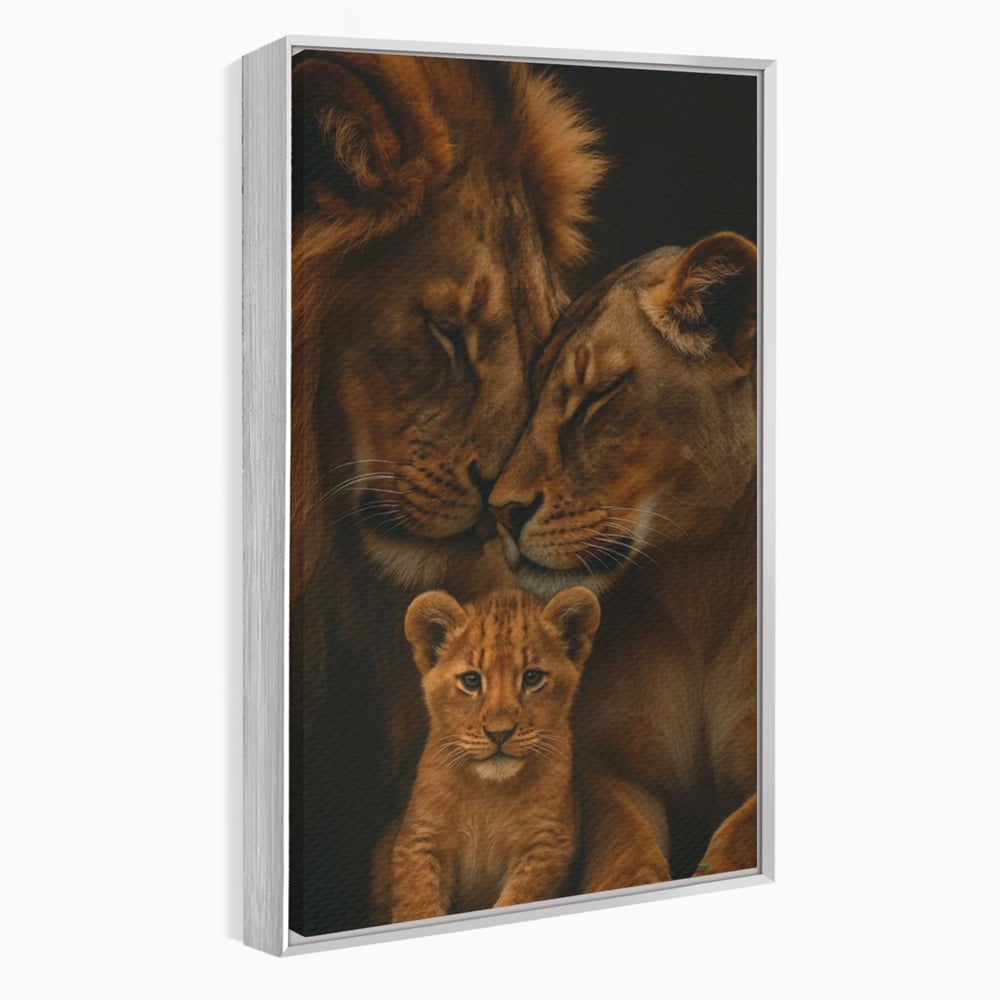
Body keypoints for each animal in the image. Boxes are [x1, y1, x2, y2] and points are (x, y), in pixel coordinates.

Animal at [371, 587, 600, 924]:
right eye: (471, 680)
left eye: (532, 678)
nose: (499, 733)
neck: (488, 794)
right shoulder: (421, 839)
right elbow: (417, 905)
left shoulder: (545, 845)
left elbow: (519, 899)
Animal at [488, 232, 758, 890]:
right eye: (533, 398)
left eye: (598, 396)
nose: (500, 510)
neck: (700, 581)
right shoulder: (609, 767)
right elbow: (624, 857)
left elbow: (736, 842)